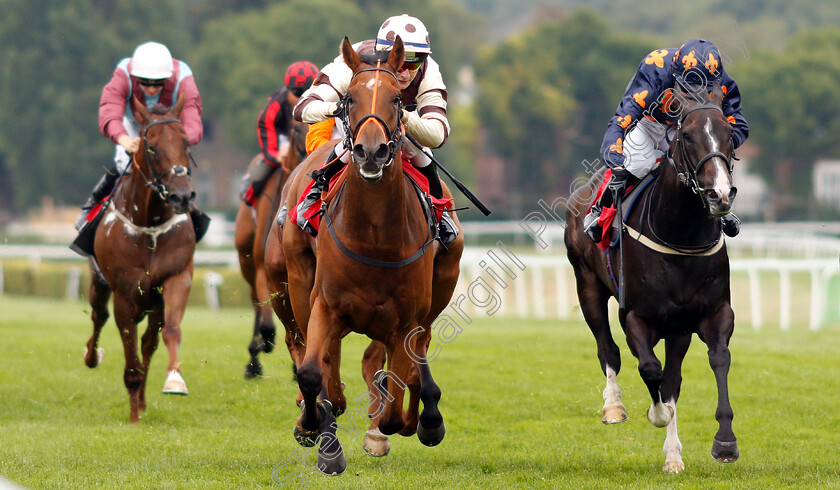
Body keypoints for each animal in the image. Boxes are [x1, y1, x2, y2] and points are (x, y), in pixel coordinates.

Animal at [84, 94, 199, 424]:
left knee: (150, 341)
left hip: (153, 303)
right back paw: (92, 355)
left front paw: (174, 379)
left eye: (186, 143)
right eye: (151, 147)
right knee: (98, 316)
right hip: (99, 282)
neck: (149, 226)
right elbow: (130, 361)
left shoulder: (176, 278)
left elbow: (170, 331)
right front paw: (134, 419)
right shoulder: (124, 295)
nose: (182, 197)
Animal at [233, 118, 308, 378]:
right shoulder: (263, 269)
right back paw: (253, 361)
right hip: (245, 259)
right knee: (256, 302)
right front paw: (264, 344)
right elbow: (267, 324)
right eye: (296, 128)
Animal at [264, 37, 466, 474]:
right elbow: (311, 373)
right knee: (312, 352)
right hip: (293, 282)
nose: (370, 151)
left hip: (439, 286)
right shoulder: (324, 304)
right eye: (350, 99)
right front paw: (319, 436)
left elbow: (398, 387)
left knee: (404, 360)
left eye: (396, 100)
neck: (375, 236)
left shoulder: (405, 320)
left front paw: (411, 421)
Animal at [564, 82, 740, 472]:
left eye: (729, 135)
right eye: (687, 136)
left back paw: (673, 455)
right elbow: (648, 367)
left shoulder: (709, 315)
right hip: (587, 286)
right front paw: (656, 414)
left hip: (677, 328)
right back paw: (613, 406)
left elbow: (716, 360)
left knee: (671, 377)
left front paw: (724, 441)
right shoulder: (635, 316)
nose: (719, 194)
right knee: (608, 350)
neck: (681, 234)